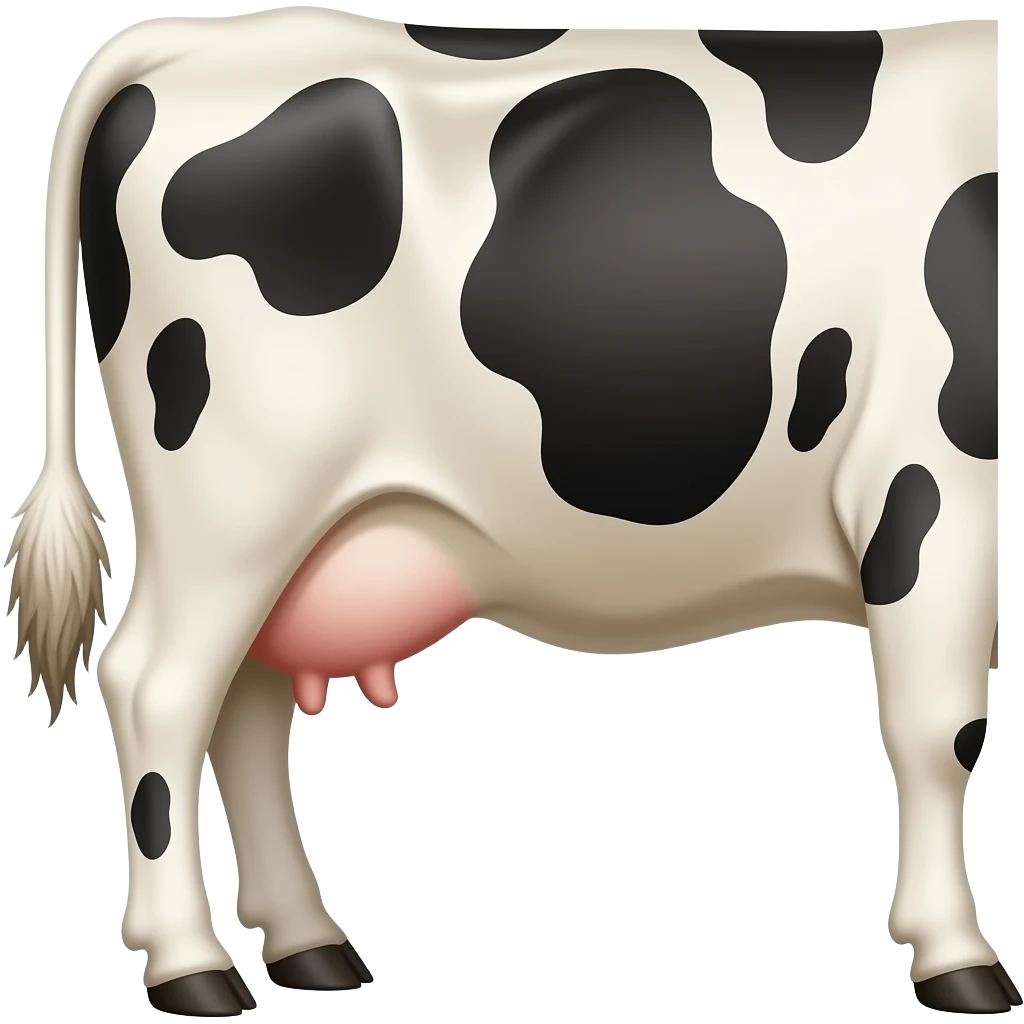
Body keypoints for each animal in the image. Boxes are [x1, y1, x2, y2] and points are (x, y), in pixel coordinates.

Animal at [7, 9, 1008, 1017]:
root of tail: (202, 37)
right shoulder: (934, 487)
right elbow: (941, 732)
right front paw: (960, 959)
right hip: (237, 494)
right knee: (159, 688)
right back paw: (191, 966)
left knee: (243, 710)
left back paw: (309, 945)